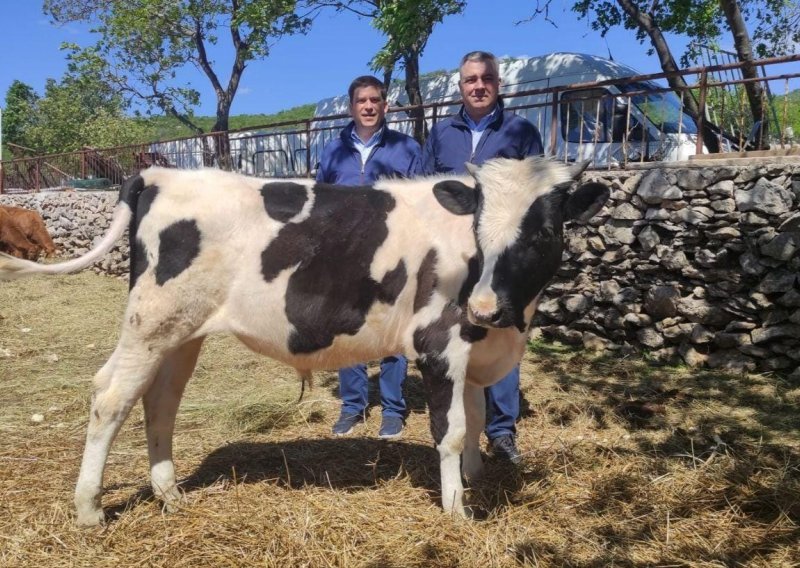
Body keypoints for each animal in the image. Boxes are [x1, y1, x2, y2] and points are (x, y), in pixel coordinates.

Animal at [0, 156, 608, 528]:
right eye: (479, 230)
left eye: (545, 232)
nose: (483, 307)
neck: (509, 322)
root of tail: (159, 174)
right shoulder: (441, 344)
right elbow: (453, 430)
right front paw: (456, 509)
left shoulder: (480, 352)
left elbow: (479, 419)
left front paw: (475, 481)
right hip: (150, 322)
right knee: (110, 397)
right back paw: (89, 509)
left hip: (180, 333)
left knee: (160, 402)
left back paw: (169, 493)